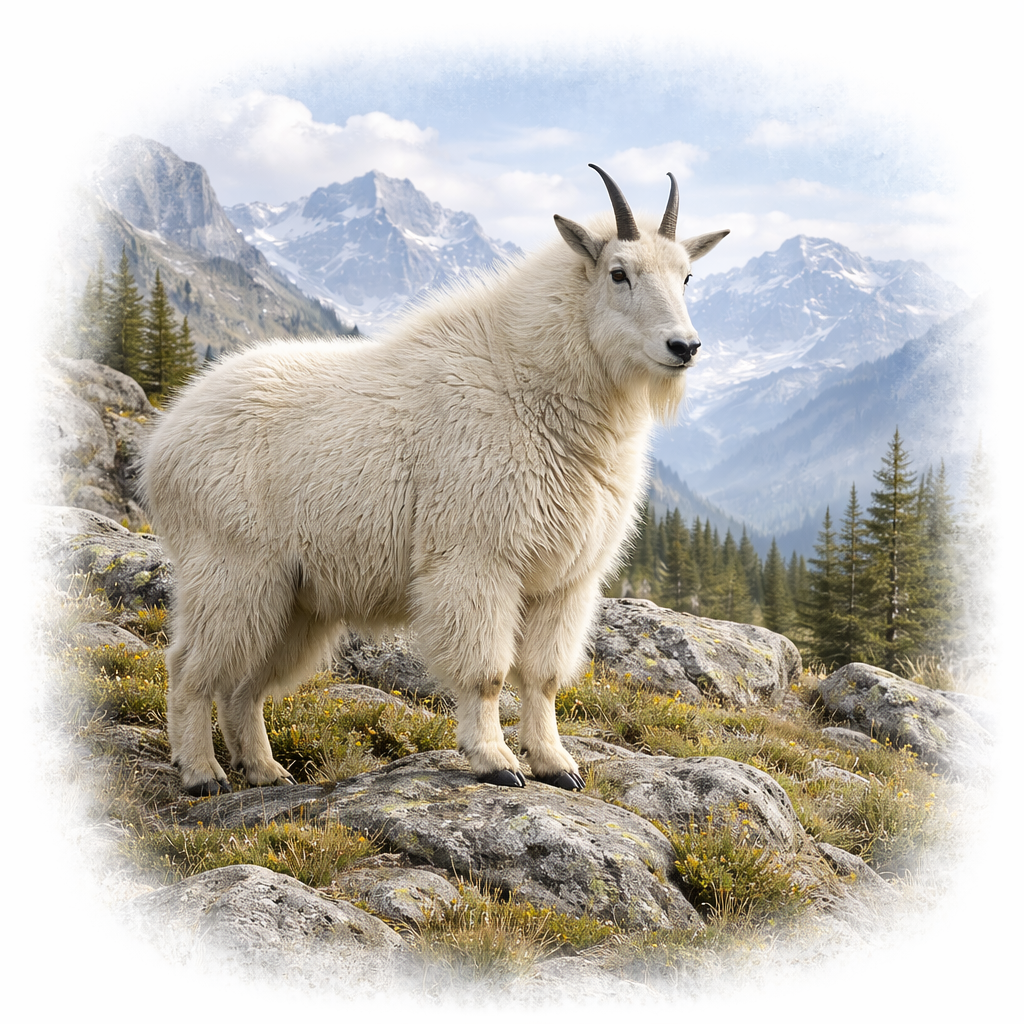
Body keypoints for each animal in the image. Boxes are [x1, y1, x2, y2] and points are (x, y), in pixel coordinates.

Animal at [142, 165, 728, 795]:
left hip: (295, 599)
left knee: (244, 684)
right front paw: (496, 762)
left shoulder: (566, 581)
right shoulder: (477, 559)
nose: (684, 347)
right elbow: (487, 672)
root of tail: (163, 442)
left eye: (686, 275)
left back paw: (264, 770)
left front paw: (555, 764)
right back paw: (202, 773)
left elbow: (543, 676)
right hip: (232, 571)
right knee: (190, 668)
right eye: (619, 273)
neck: (533, 384)